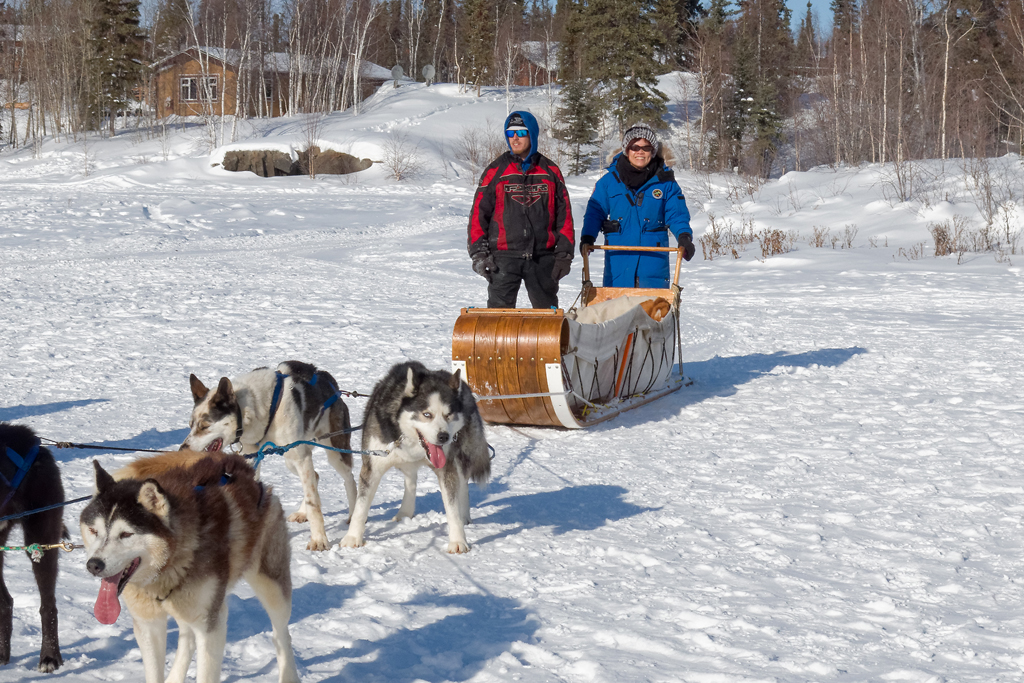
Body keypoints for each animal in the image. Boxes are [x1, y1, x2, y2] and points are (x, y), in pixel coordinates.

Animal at [81, 450, 299, 683]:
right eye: (94, 530)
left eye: (126, 534)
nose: (94, 565)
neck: (168, 566)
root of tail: (250, 472)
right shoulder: (148, 625)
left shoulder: (210, 626)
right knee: (187, 638)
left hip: (271, 586)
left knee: (281, 634)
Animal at [182, 360, 358, 552]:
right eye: (190, 425)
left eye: (204, 426)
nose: (183, 448)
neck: (257, 410)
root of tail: (331, 383)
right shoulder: (253, 458)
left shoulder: (301, 458)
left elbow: (314, 503)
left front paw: (319, 539)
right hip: (290, 458)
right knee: (316, 476)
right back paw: (302, 513)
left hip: (332, 451)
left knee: (349, 479)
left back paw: (352, 515)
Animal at [339, 360, 491, 552]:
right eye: (427, 414)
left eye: (449, 415)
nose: (444, 437)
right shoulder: (372, 467)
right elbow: (361, 506)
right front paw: (352, 538)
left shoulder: (446, 469)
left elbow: (452, 507)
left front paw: (458, 541)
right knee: (411, 480)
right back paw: (405, 512)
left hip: (461, 455)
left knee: (462, 483)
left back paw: (464, 517)